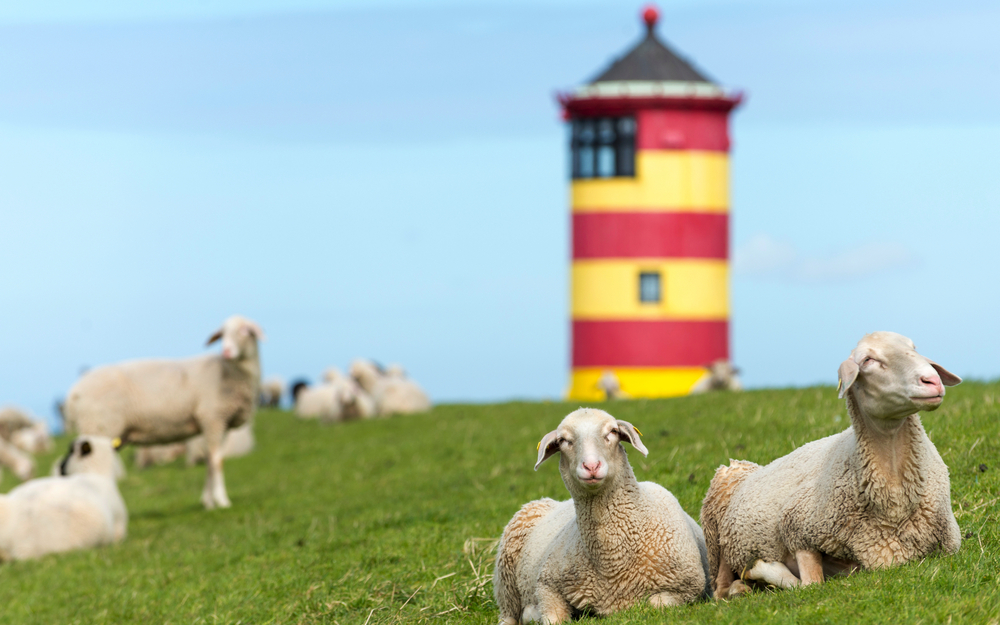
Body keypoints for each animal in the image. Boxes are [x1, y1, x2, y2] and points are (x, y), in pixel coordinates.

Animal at [63, 314, 264, 510]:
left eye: (245, 331)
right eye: (222, 334)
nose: (227, 352)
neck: (228, 371)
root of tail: (73, 393)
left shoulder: (221, 425)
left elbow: (210, 461)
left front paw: (208, 502)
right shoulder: (213, 418)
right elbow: (217, 462)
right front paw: (221, 500)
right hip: (98, 427)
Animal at [494, 408, 710, 623]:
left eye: (613, 431)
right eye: (563, 440)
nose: (591, 466)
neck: (612, 562)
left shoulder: (688, 587)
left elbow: (656, 603)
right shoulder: (547, 582)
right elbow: (551, 616)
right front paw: (536, 613)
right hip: (506, 580)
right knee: (508, 614)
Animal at [700, 331, 962, 598]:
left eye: (913, 348)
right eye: (867, 360)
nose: (932, 380)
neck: (895, 506)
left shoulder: (949, 546)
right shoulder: (796, 528)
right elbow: (810, 584)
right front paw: (763, 568)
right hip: (717, 537)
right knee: (721, 589)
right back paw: (741, 586)